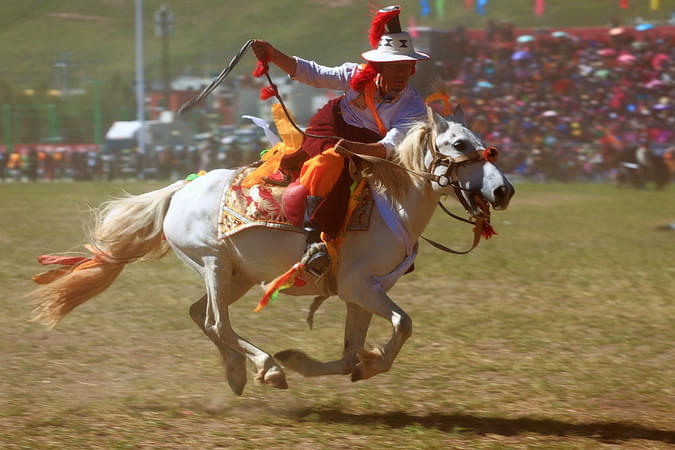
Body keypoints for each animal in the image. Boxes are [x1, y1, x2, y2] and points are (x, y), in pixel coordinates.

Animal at [31, 107, 514, 395]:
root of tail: (180, 188)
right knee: (215, 321)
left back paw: (240, 371)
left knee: (200, 316)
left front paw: (318, 362)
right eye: (459, 145)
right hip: (214, 263)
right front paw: (369, 362)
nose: (504, 190)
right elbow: (404, 324)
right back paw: (265, 367)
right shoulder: (361, 286)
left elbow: (347, 354)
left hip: (238, 276)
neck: (390, 204)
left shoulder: (359, 294)